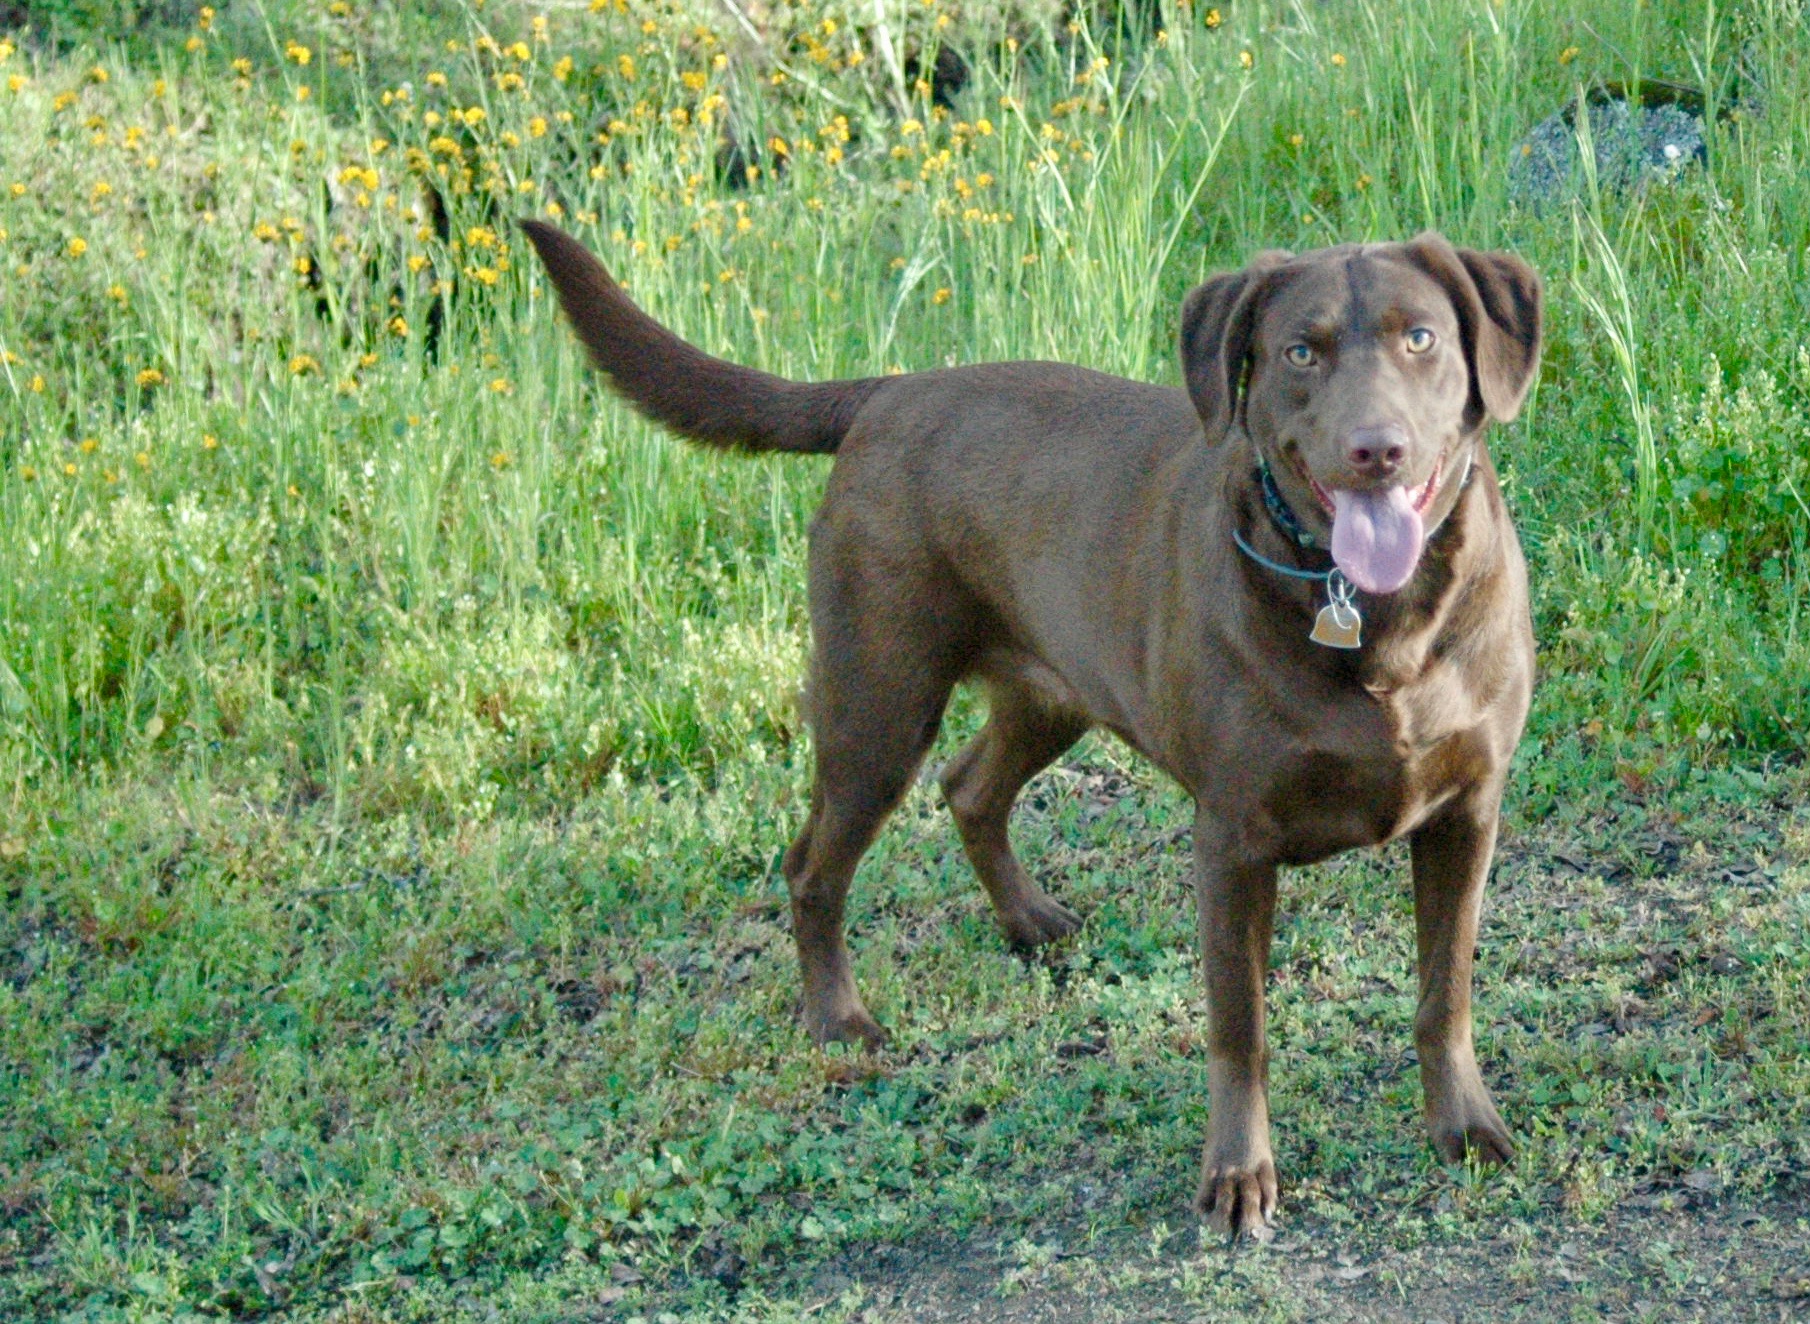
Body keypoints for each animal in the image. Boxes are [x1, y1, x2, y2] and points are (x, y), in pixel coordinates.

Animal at [521, 220, 1542, 1246]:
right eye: (1301, 352)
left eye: (1422, 339)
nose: (1378, 448)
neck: (1377, 620)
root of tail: (889, 390)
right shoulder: (1232, 838)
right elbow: (1239, 1024)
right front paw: (1238, 1175)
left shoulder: (1468, 813)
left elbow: (1444, 991)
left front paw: (1464, 1127)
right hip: (878, 703)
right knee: (814, 864)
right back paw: (839, 1020)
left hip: (1050, 692)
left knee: (970, 786)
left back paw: (1028, 921)